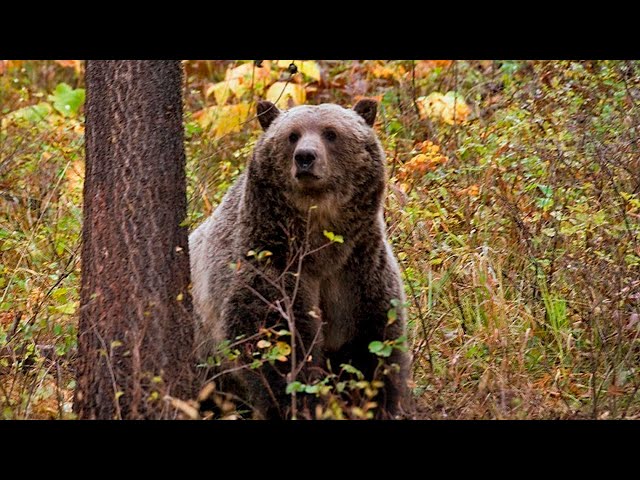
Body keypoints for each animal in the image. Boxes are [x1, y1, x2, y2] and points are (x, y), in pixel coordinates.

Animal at [190, 99, 410, 418]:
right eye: (292, 135)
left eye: (331, 133)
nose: (305, 157)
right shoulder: (271, 264)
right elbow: (276, 345)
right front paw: (299, 404)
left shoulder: (358, 270)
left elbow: (373, 346)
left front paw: (378, 403)